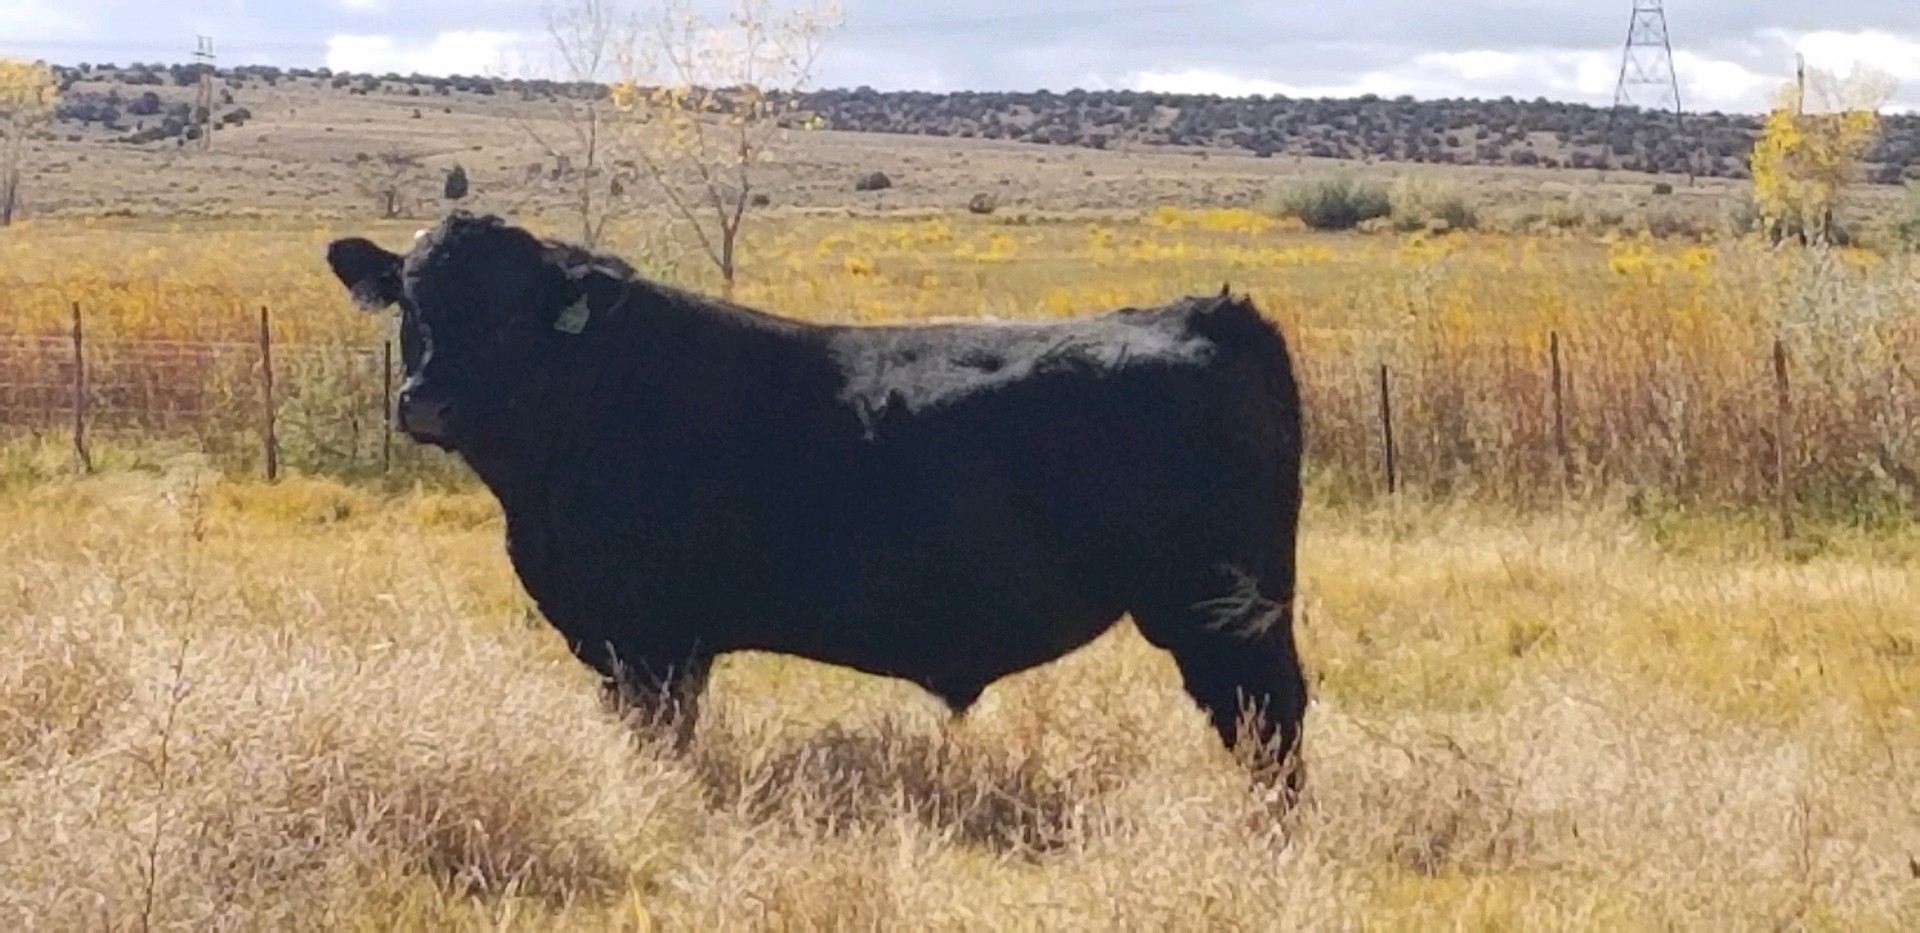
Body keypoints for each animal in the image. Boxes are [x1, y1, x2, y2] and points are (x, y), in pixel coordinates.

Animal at [330, 213, 1313, 794]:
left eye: (507, 314)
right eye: (410, 302)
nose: (423, 401)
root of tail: (1211, 313)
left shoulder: (651, 641)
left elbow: (659, 737)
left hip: (1220, 608)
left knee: (1268, 718)